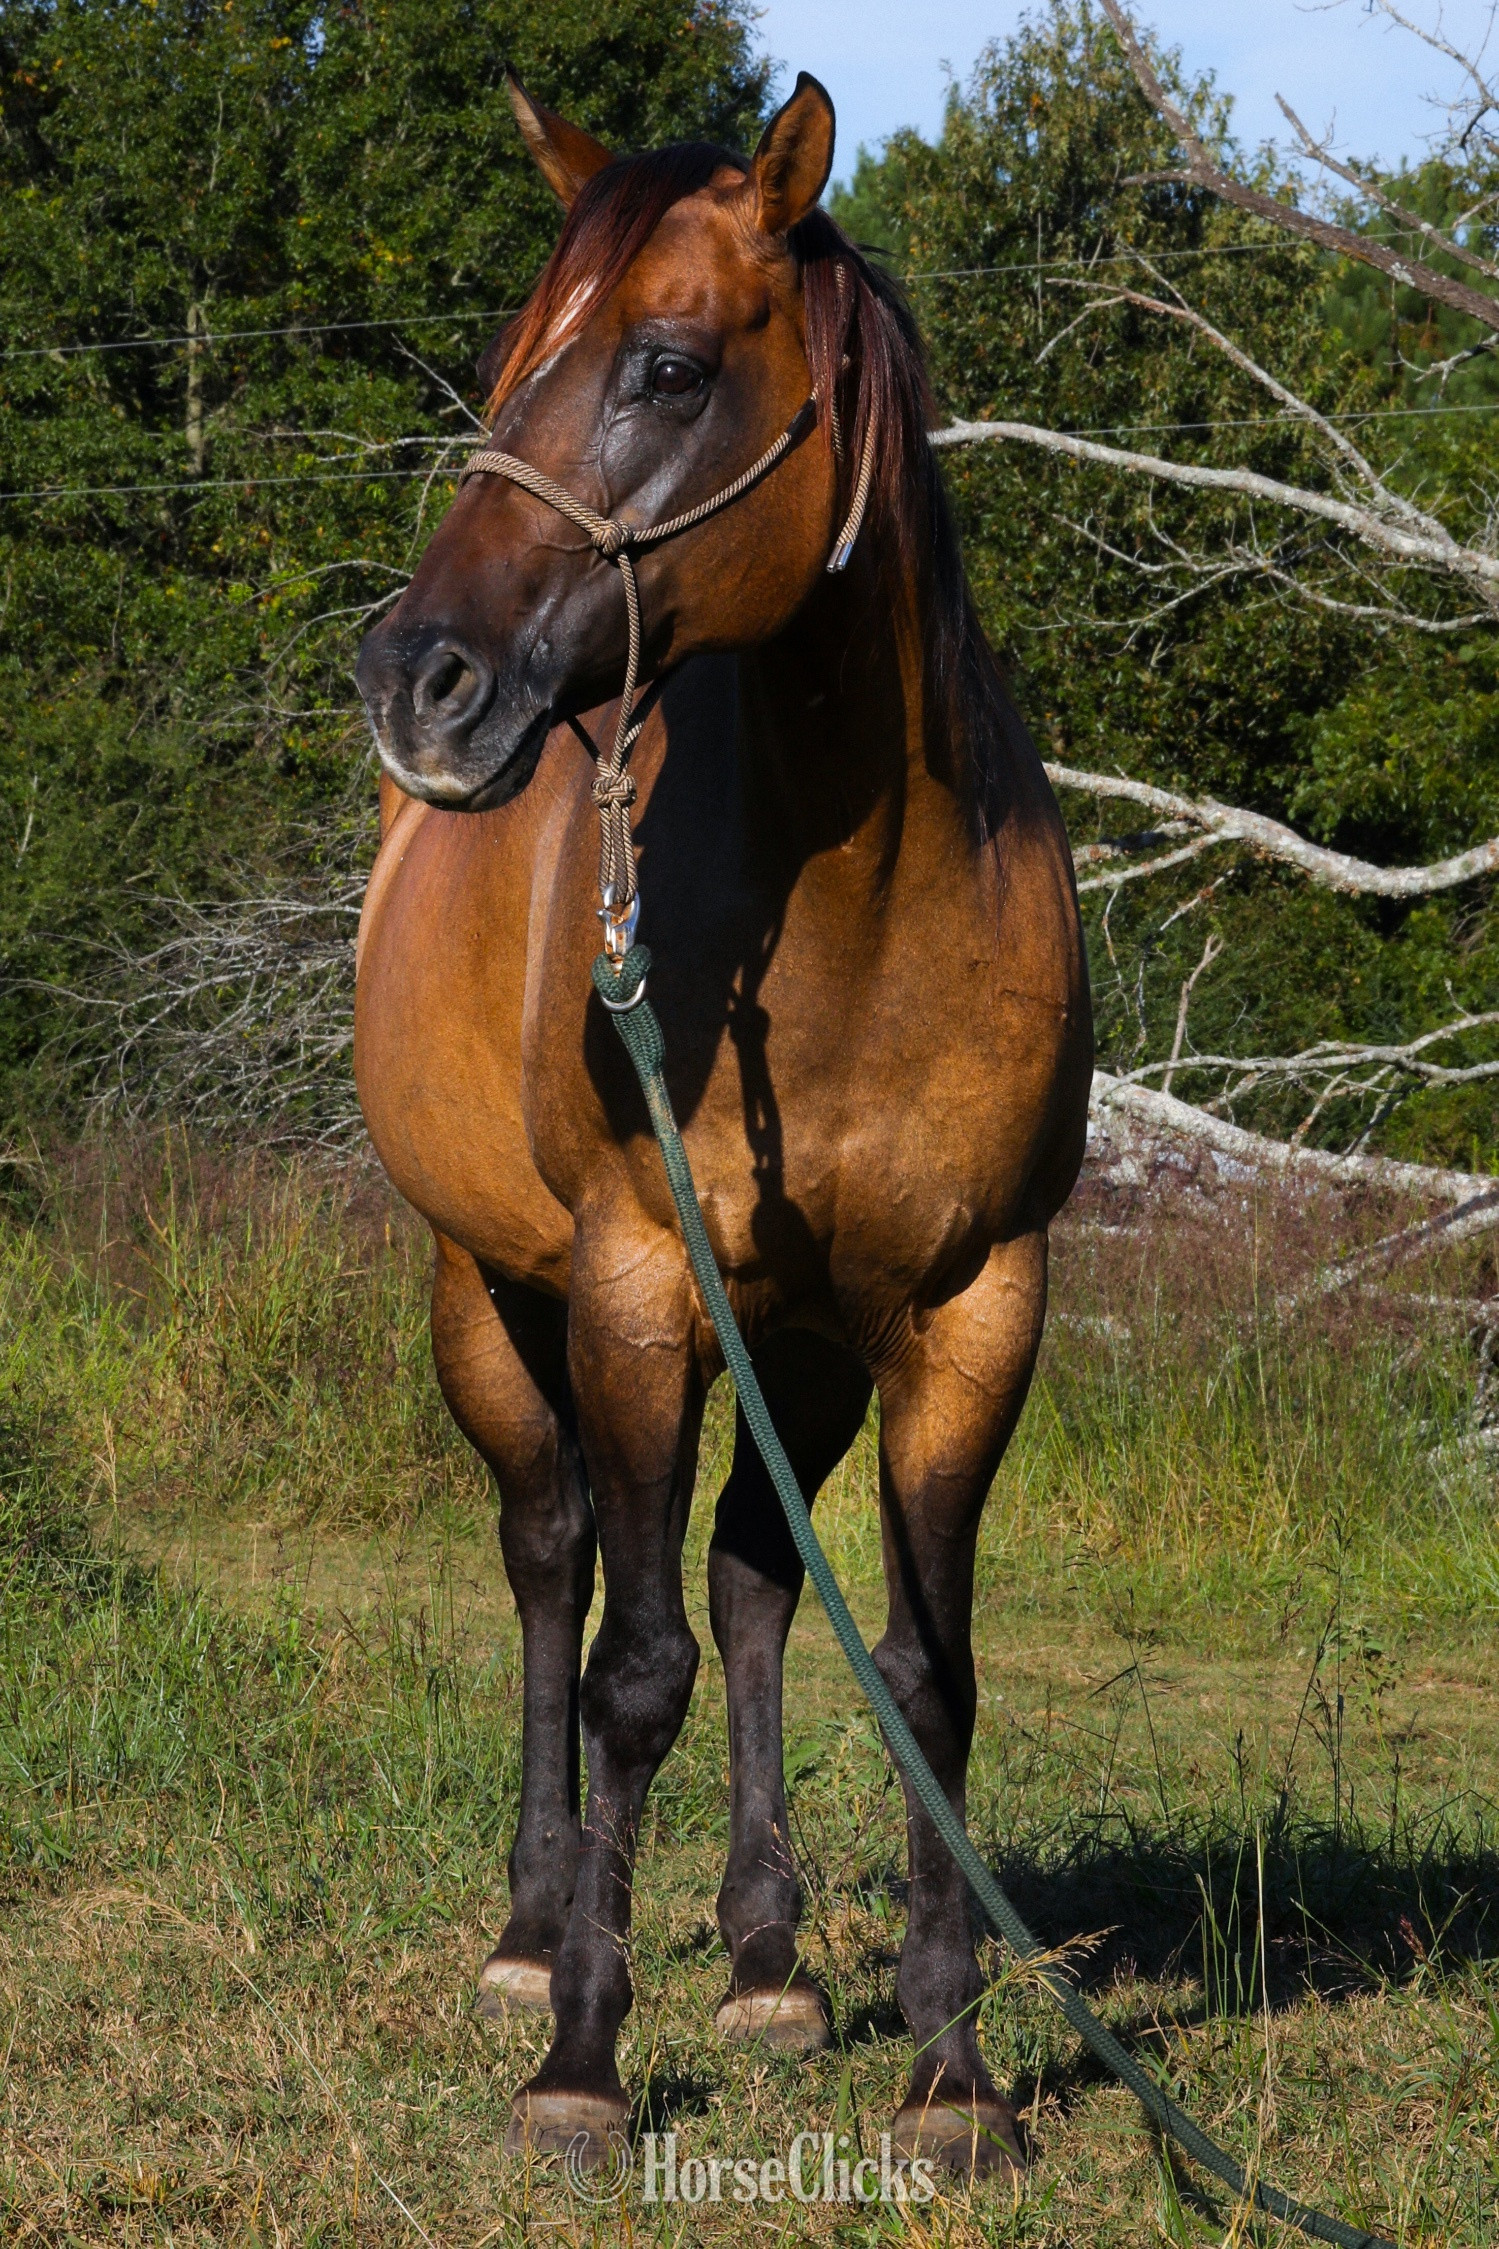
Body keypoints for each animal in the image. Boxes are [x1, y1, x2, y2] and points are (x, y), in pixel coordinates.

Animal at [353, 68, 1091, 2172]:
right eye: (510, 369)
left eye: (665, 367)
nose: (416, 681)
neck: (858, 904)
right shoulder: (630, 1288)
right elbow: (628, 1665)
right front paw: (579, 2058)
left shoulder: (966, 1307)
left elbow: (920, 1672)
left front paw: (949, 2072)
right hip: (490, 1295)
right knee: (549, 1558)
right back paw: (535, 1930)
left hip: (801, 1341)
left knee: (759, 1578)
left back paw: (764, 1956)